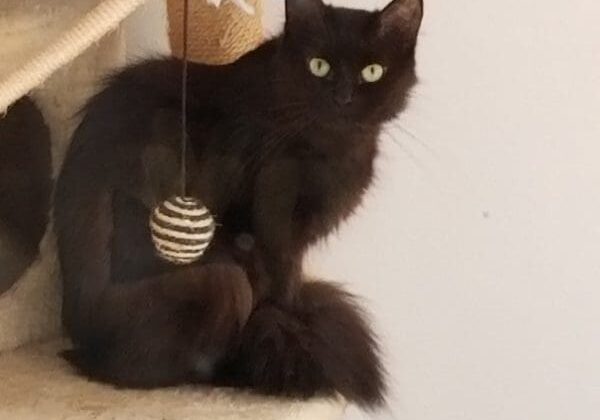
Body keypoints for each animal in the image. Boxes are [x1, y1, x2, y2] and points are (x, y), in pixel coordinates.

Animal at [54, 0, 424, 406]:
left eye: (372, 72)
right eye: (318, 65)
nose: (342, 97)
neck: (333, 148)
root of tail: (78, 344)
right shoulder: (271, 234)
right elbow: (281, 291)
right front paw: (292, 338)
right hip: (221, 282)